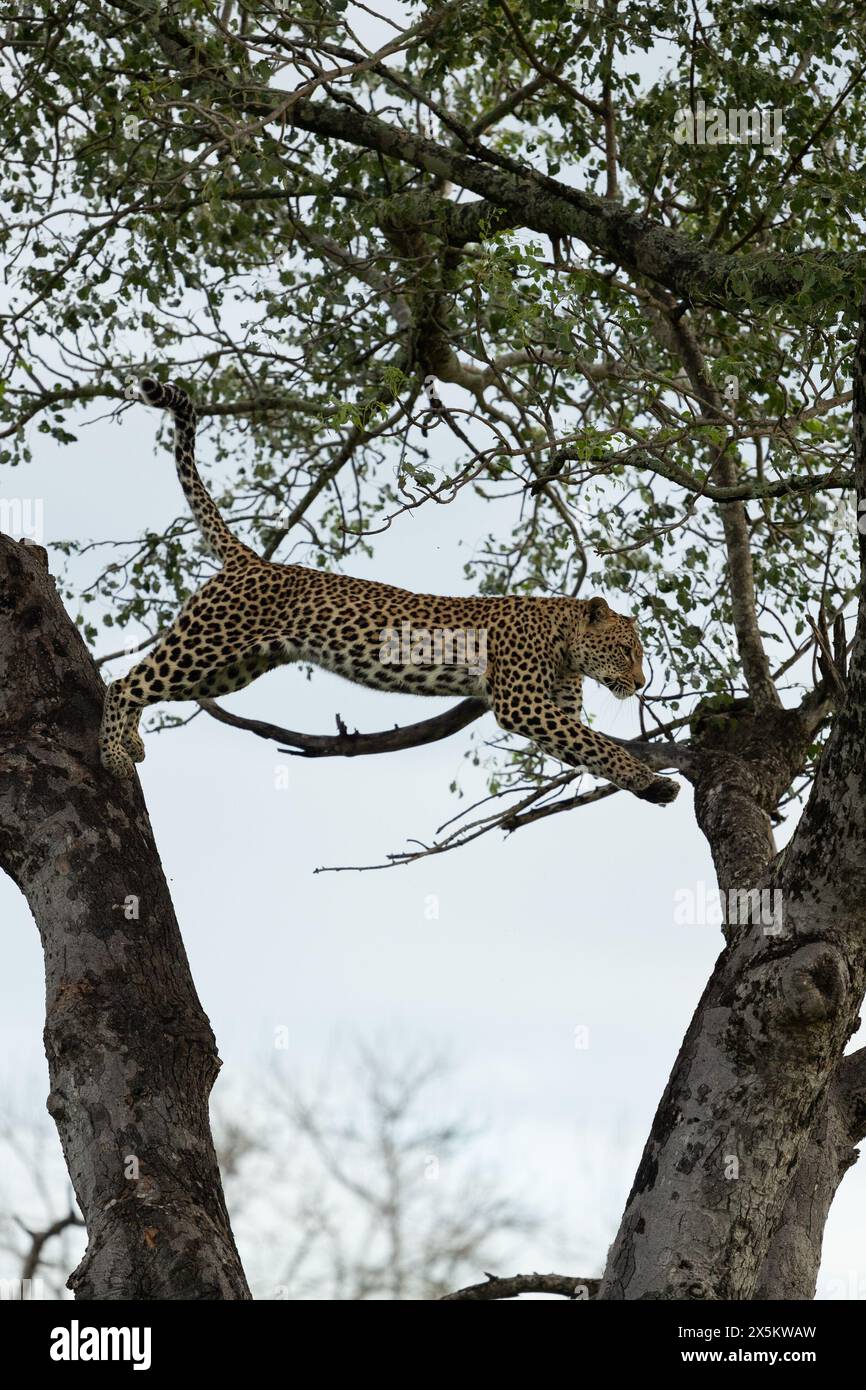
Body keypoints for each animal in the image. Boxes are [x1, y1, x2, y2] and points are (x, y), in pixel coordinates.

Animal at [97, 380, 681, 811]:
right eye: (626, 651)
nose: (639, 683)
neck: (564, 643)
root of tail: (251, 561)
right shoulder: (523, 702)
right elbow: (600, 744)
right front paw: (646, 775)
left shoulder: (553, 709)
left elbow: (590, 749)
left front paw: (651, 786)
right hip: (206, 645)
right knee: (124, 682)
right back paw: (114, 756)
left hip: (234, 666)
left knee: (142, 686)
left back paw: (133, 742)